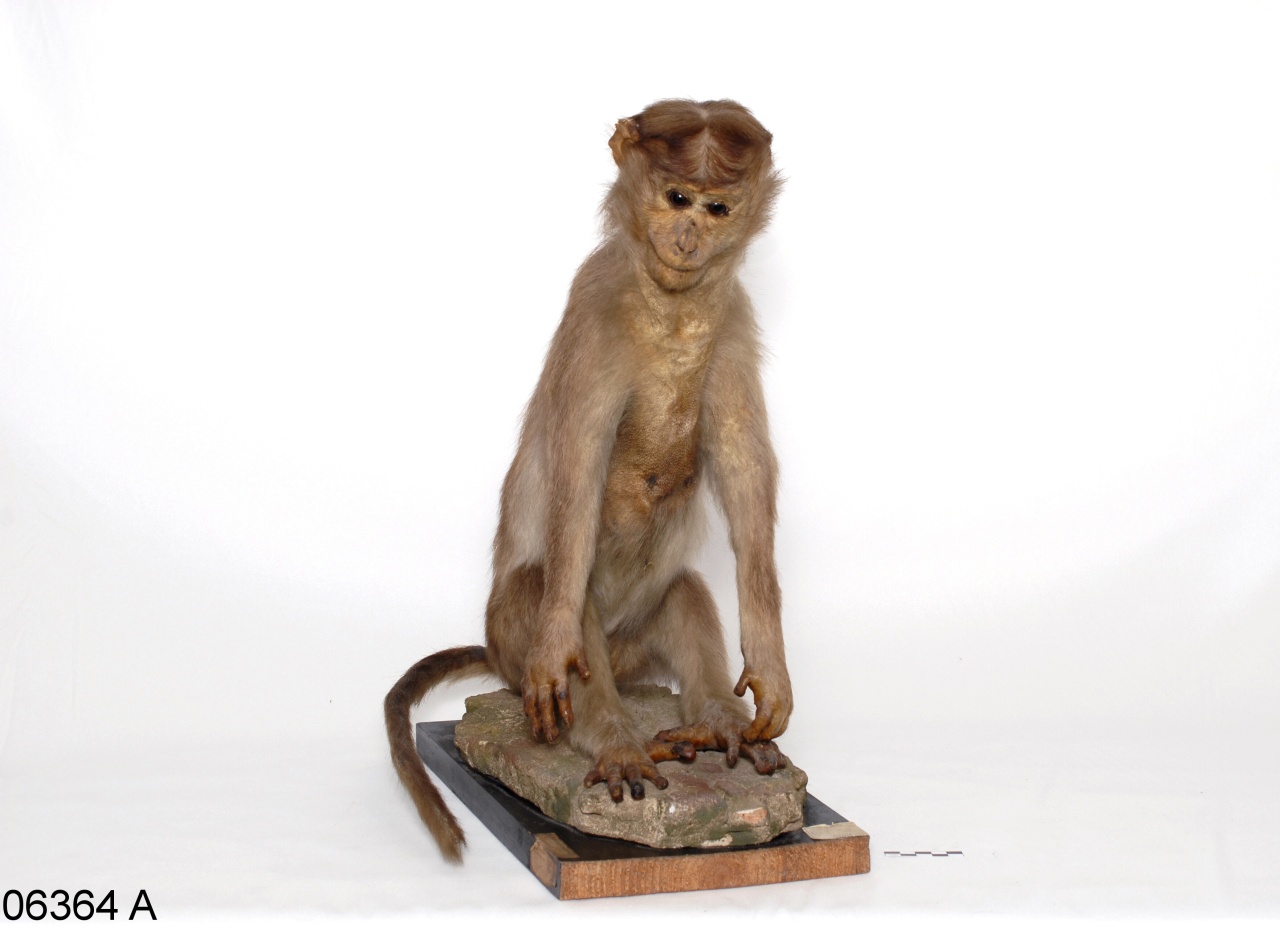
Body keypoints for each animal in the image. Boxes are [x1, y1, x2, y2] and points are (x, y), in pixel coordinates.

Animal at [385, 99, 793, 862]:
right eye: (675, 198)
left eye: (718, 207)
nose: (688, 235)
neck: (672, 309)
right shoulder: (595, 316)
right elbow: (576, 476)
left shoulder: (732, 320)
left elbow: (744, 467)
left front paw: (770, 666)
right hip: (514, 634)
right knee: (558, 601)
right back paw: (612, 741)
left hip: (642, 636)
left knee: (685, 594)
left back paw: (716, 721)